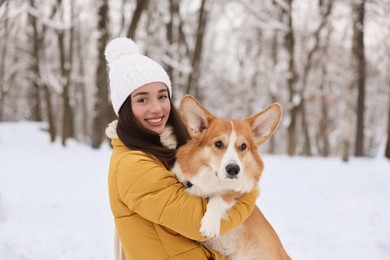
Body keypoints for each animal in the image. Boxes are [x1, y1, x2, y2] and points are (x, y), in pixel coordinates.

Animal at [171, 95, 290, 260]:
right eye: (219, 143)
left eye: (243, 146)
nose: (233, 169)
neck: (212, 177)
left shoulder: (237, 191)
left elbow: (219, 199)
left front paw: (209, 225)